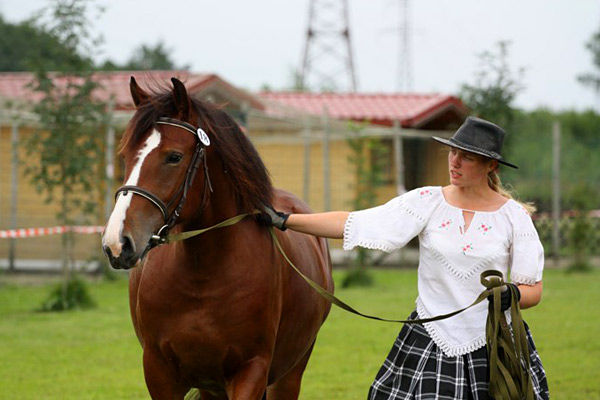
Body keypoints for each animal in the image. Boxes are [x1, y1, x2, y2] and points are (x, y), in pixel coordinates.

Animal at [99, 76, 332, 398]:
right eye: (125, 156)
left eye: (174, 157)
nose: (117, 242)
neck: (202, 278)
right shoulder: (158, 371)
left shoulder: (251, 371)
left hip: (289, 374)